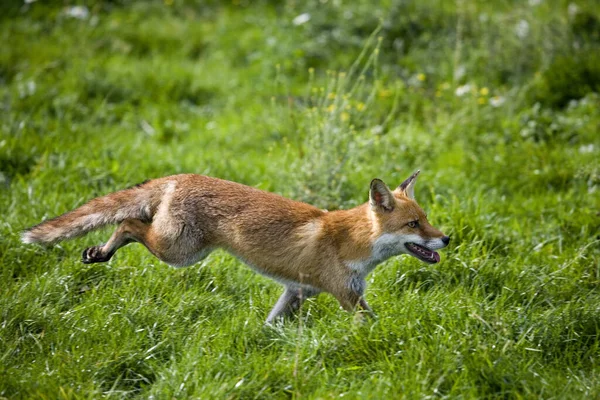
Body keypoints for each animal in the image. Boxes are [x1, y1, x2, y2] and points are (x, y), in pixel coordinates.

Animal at [21, 170, 448, 324]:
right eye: (413, 225)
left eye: (426, 219)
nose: (446, 238)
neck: (351, 242)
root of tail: (179, 176)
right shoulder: (347, 297)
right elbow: (373, 326)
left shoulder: (297, 291)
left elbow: (270, 326)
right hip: (179, 252)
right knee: (127, 224)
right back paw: (102, 252)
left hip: (178, 250)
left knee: (127, 223)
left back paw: (99, 253)